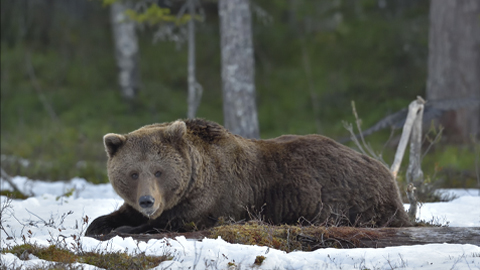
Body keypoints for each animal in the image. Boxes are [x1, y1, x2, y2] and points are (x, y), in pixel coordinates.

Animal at [85, 118, 408, 236]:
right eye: (133, 173)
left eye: (159, 171)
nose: (147, 201)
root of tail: (387, 174)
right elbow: (117, 214)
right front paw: (99, 225)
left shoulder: (213, 201)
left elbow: (172, 223)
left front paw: (123, 229)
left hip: (348, 197)